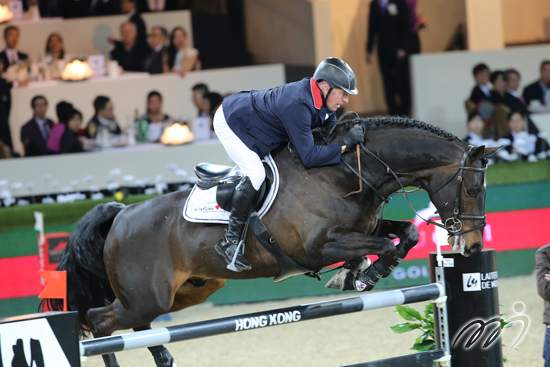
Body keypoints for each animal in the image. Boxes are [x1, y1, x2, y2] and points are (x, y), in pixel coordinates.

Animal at [44, 116, 500, 366]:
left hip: (185, 292)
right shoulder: (318, 248)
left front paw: (355, 274)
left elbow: (403, 234)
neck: (346, 169)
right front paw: (361, 277)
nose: (473, 248)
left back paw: (165, 358)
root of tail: (121, 214)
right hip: (146, 296)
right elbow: (385, 247)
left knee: (134, 325)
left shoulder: (363, 228)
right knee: (100, 322)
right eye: (473, 187)